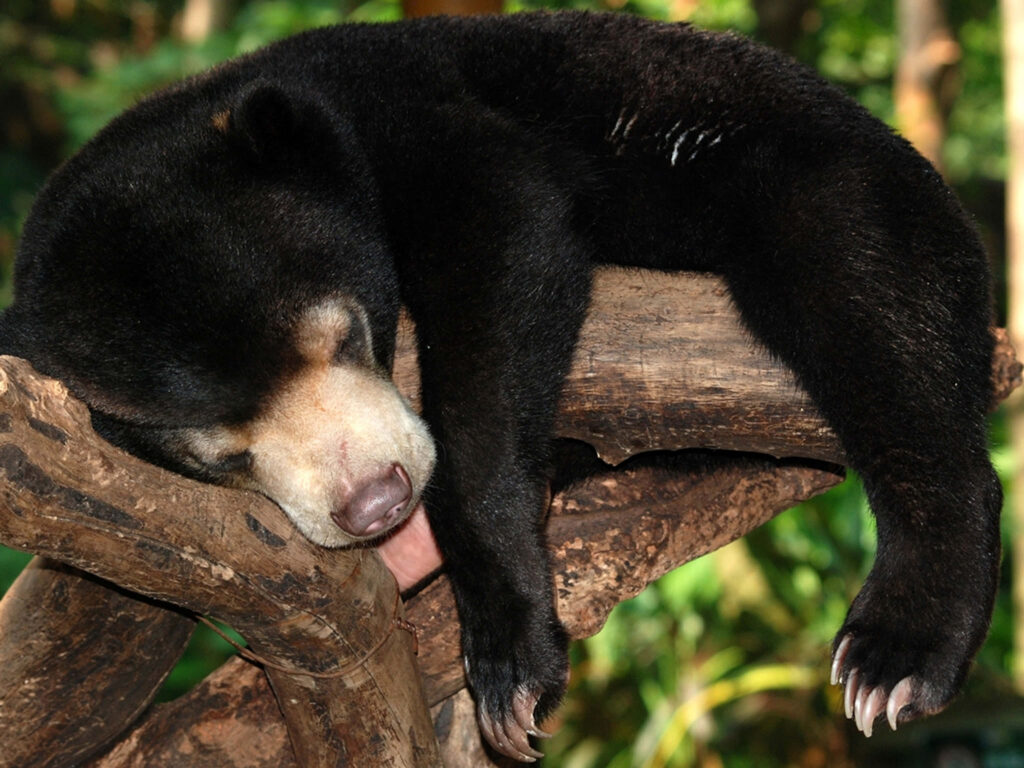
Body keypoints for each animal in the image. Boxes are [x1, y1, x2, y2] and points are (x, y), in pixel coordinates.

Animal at [0, 10, 1002, 762]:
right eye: (220, 453)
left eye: (346, 335)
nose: (376, 503)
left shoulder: (412, 109)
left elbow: (506, 235)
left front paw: (511, 667)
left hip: (804, 158)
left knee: (868, 297)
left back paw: (897, 651)